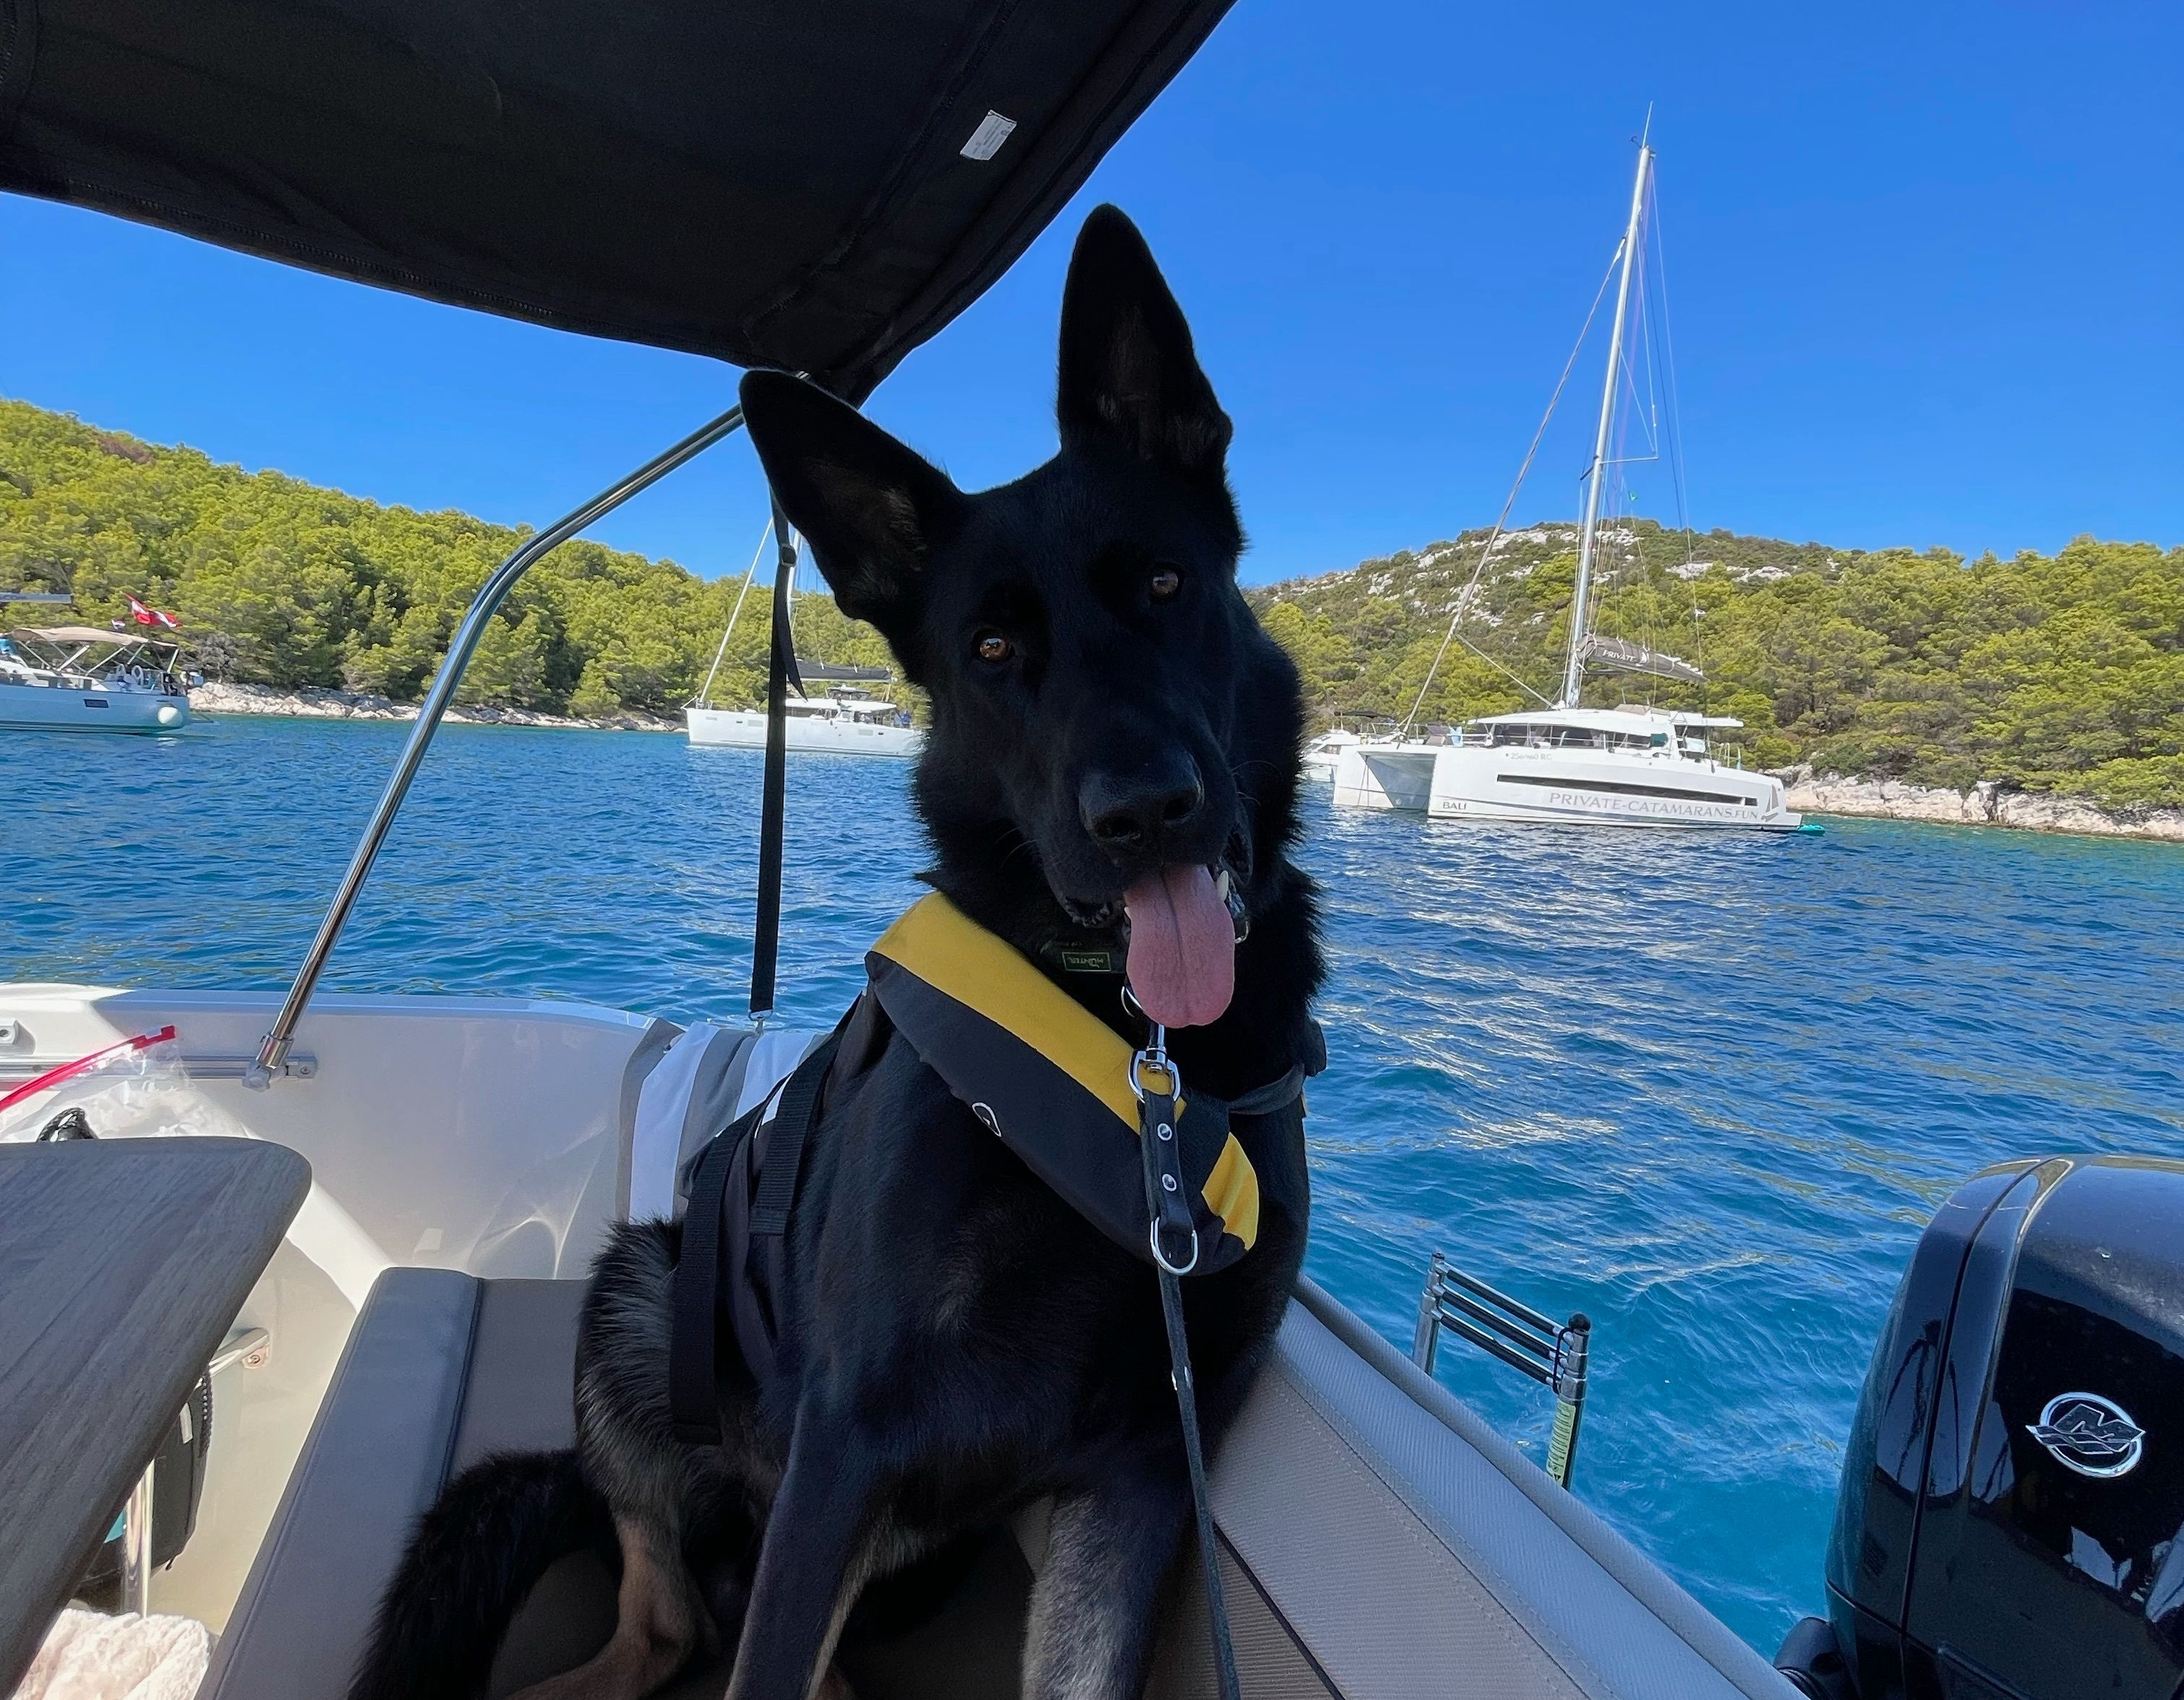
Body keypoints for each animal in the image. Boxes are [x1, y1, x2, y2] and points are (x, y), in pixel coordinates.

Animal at [351, 204, 1324, 1700]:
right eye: (992, 646)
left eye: (1165, 583)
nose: (1140, 811)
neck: (1130, 1059)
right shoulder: (848, 1440)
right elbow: (763, 1648)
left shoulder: (1148, 1467)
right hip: (639, 1297)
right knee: (668, 1620)